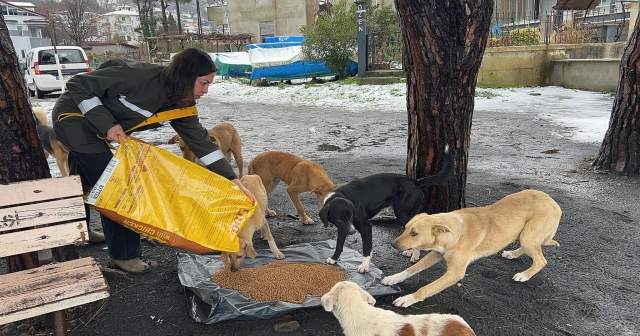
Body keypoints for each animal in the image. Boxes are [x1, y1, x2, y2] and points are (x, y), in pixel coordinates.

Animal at [318, 146, 452, 272]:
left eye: (351, 215)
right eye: (339, 220)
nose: (352, 232)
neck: (340, 195)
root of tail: (415, 181)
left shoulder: (365, 227)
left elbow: (366, 249)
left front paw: (365, 266)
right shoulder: (343, 228)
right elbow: (339, 245)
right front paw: (334, 259)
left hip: (402, 214)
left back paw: (415, 255)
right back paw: (410, 251)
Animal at [382, 189, 564, 308]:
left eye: (414, 233)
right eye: (405, 228)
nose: (392, 245)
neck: (455, 232)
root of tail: (554, 203)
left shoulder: (455, 273)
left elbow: (426, 288)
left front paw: (408, 299)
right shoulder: (436, 254)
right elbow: (411, 269)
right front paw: (393, 278)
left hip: (528, 236)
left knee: (541, 260)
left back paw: (524, 275)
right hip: (524, 236)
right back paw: (512, 254)